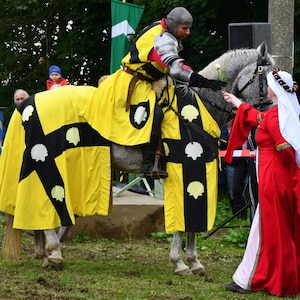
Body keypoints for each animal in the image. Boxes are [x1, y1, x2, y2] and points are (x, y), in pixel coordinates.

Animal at [2, 42, 274, 274]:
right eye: (267, 75)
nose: (272, 111)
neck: (200, 107)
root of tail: (29, 101)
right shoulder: (188, 169)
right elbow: (184, 222)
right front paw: (180, 263)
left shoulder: (199, 173)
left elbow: (193, 224)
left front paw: (194, 262)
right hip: (49, 163)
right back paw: (55, 253)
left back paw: (45, 253)